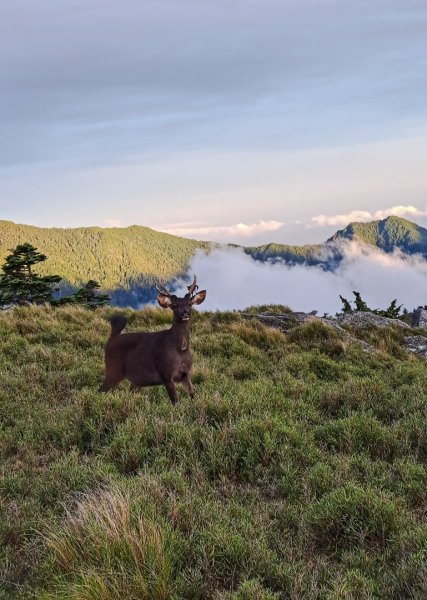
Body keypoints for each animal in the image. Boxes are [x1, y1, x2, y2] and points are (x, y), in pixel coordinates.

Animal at [100, 276, 207, 404]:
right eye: (174, 306)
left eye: (190, 304)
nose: (184, 313)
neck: (180, 349)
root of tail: (112, 339)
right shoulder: (166, 374)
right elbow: (175, 402)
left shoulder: (185, 375)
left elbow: (192, 395)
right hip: (113, 369)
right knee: (100, 390)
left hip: (136, 380)